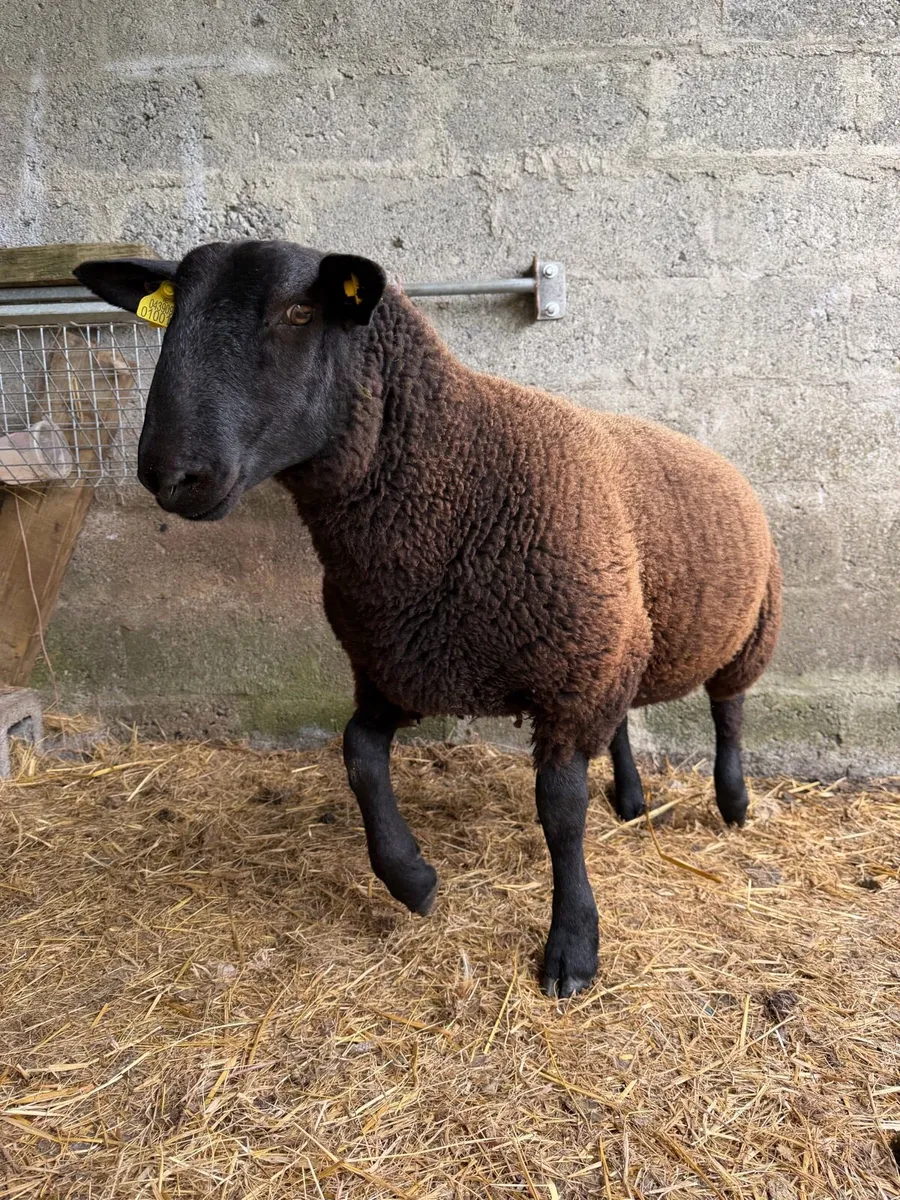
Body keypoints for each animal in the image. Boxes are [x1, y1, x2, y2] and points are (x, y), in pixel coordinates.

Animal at [76, 241, 782, 998]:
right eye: (172, 311)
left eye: (299, 311)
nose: (170, 474)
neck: (455, 474)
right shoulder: (402, 664)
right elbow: (358, 754)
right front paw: (411, 880)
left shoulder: (568, 678)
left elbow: (560, 814)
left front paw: (572, 947)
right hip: (621, 636)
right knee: (624, 717)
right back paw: (630, 799)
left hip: (738, 628)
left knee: (729, 709)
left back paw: (733, 801)